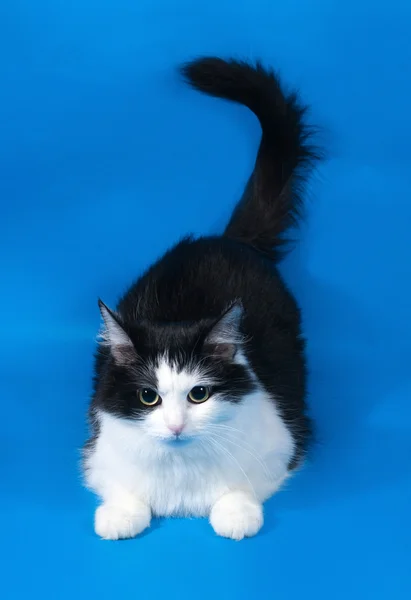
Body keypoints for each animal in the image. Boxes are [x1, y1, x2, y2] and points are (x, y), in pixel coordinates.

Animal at [83, 56, 320, 540]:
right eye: (148, 397)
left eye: (199, 394)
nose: (175, 426)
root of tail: (228, 239)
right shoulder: (98, 447)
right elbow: (120, 484)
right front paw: (120, 515)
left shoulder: (285, 440)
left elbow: (242, 486)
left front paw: (235, 515)